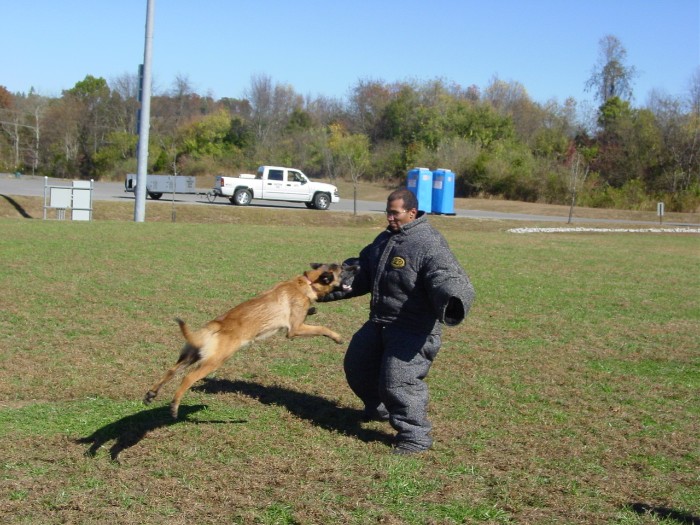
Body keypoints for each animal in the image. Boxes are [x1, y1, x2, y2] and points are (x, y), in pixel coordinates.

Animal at [144, 262, 358, 418]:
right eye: (342, 269)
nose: (356, 266)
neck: (306, 282)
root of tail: (213, 326)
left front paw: (313, 310)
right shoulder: (295, 329)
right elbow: (321, 328)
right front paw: (337, 337)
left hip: (190, 356)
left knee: (171, 371)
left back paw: (151, 394)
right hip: (213, 362)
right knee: (187, 378)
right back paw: (174, 406)